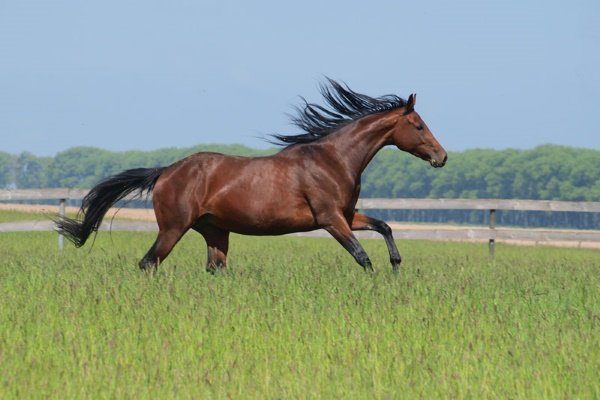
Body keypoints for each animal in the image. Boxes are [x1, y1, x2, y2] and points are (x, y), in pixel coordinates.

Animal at [56, 80, 448, 276]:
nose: (441, 157)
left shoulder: (347, 215)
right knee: (148, 263)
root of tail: (165, 171)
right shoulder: (330, 219)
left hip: (215, 231)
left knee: (214, 269)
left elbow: (384, 226)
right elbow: (361, 256)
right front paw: (377, 281)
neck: (333, 160)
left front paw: (396, 265)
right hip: (173, 228)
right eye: (418, 125)